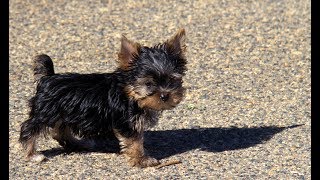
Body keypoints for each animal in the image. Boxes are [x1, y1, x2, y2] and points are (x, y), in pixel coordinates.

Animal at [18, 28, 188, 167]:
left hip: (64, 113)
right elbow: (135, 143)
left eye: (172, 80)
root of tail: (48, 77)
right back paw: (32, 154)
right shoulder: (127, 124)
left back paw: (77, 143)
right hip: (46, 112)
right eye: (148, 83)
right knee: (29, 128)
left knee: (60, 130)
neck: (130, 94)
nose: (165, 95)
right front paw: (142, 160)